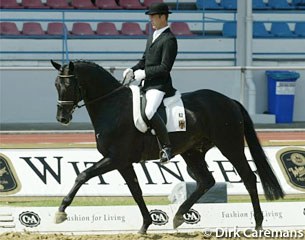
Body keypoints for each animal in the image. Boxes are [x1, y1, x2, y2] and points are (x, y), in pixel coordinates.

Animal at [51, 60, 282, 234]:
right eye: (56, 85)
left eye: (69, 86)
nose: (62, 118)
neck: (112, 107)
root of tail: (230, 101)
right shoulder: (123, 162)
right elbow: (136, 190)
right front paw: (145, 225)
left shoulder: (115, 158)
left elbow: (82, 175)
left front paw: (61, 212)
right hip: (193, 152)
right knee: (206, 181)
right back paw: (179, 215)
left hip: (230, 146)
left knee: (249, 178)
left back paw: (258, 224)